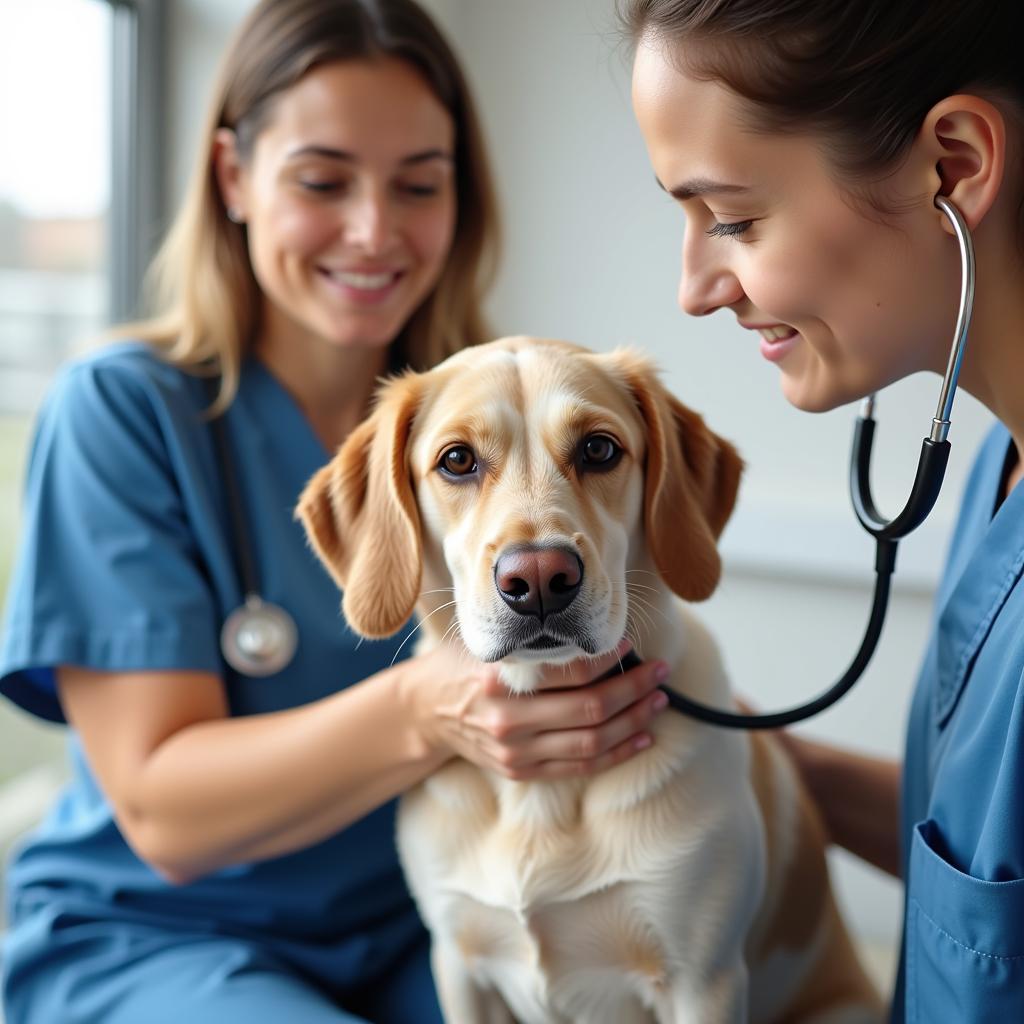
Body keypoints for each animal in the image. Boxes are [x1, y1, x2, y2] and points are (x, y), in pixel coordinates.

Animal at [294, 337, 880, 1024]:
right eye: (457, 460)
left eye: (599, 449)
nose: (538, 579)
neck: (541, 798)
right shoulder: (460, 967)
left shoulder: (703, 981)